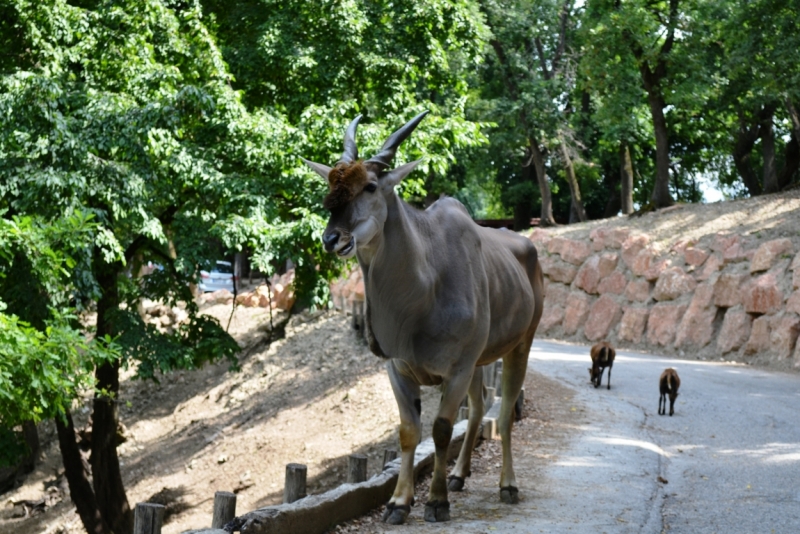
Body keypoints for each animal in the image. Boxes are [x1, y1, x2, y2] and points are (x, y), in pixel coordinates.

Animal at [302, 114, 544, 528]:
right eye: (330, 186)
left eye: (370, 186)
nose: (332, 238)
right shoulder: (399, 368)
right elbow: (408, 432)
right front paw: (399, 503)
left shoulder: (457, 368)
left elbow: (441, 429)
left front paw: (436, 502)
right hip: (479, 362)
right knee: (479, 407)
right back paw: (460, 475)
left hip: (520, 345)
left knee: (505, 412)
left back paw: (508, 485)